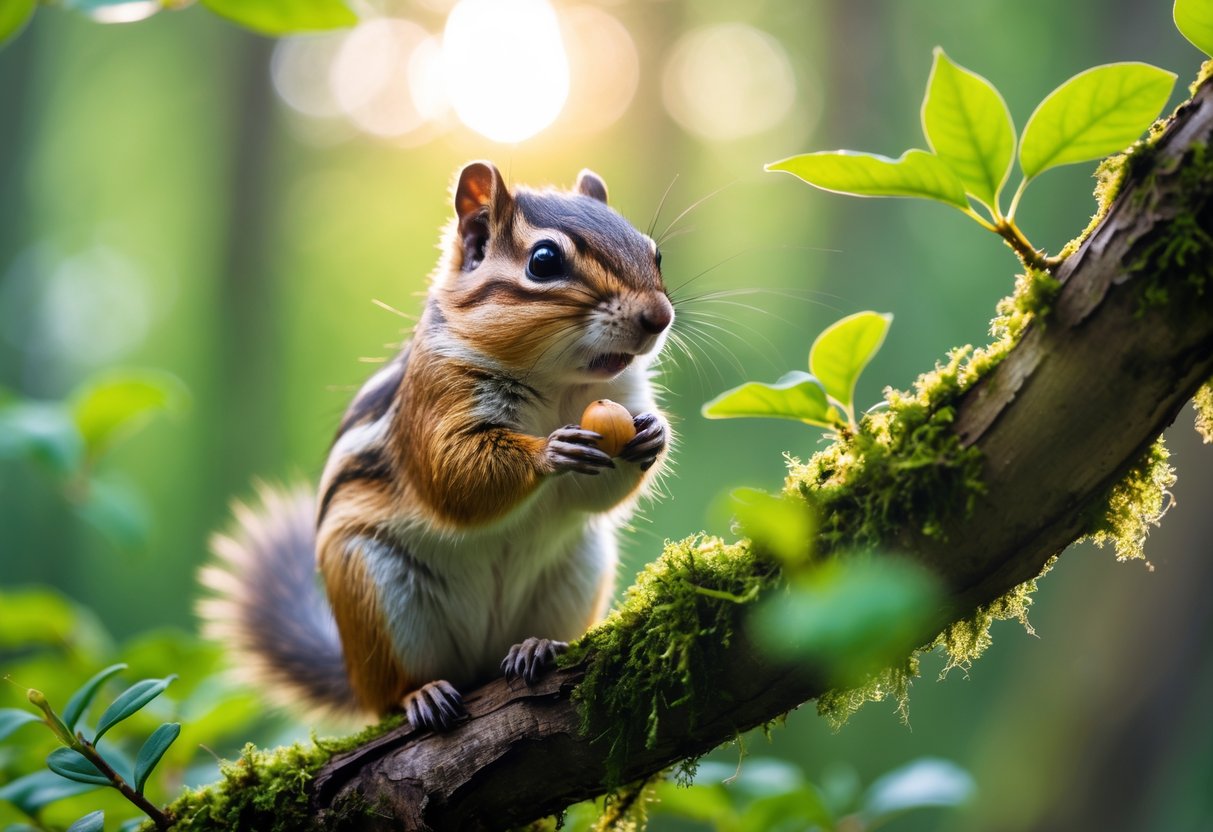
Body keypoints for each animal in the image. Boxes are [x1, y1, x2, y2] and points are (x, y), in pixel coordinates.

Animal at [198, 162, 673, 731]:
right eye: (543, 261)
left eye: (654, 253)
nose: (660, 316)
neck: (558, 385)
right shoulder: (436, 399)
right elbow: (454, 478)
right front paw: (549, 452)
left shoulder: (621, 398)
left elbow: (594, 497)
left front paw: (654, 434)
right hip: (374, 593)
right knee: (391, 691)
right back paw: (420, 694)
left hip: (577, 570)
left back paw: (534, 645)